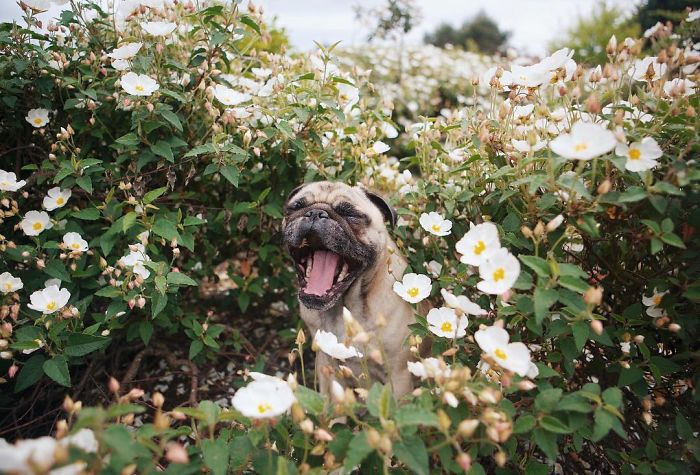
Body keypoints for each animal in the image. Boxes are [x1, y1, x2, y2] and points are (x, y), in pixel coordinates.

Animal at [284, 182, 416, 398]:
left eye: (350, 214)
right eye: (295, 207)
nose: (316, 213)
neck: (343, 309)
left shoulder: (399, 376)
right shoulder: (327, 366)